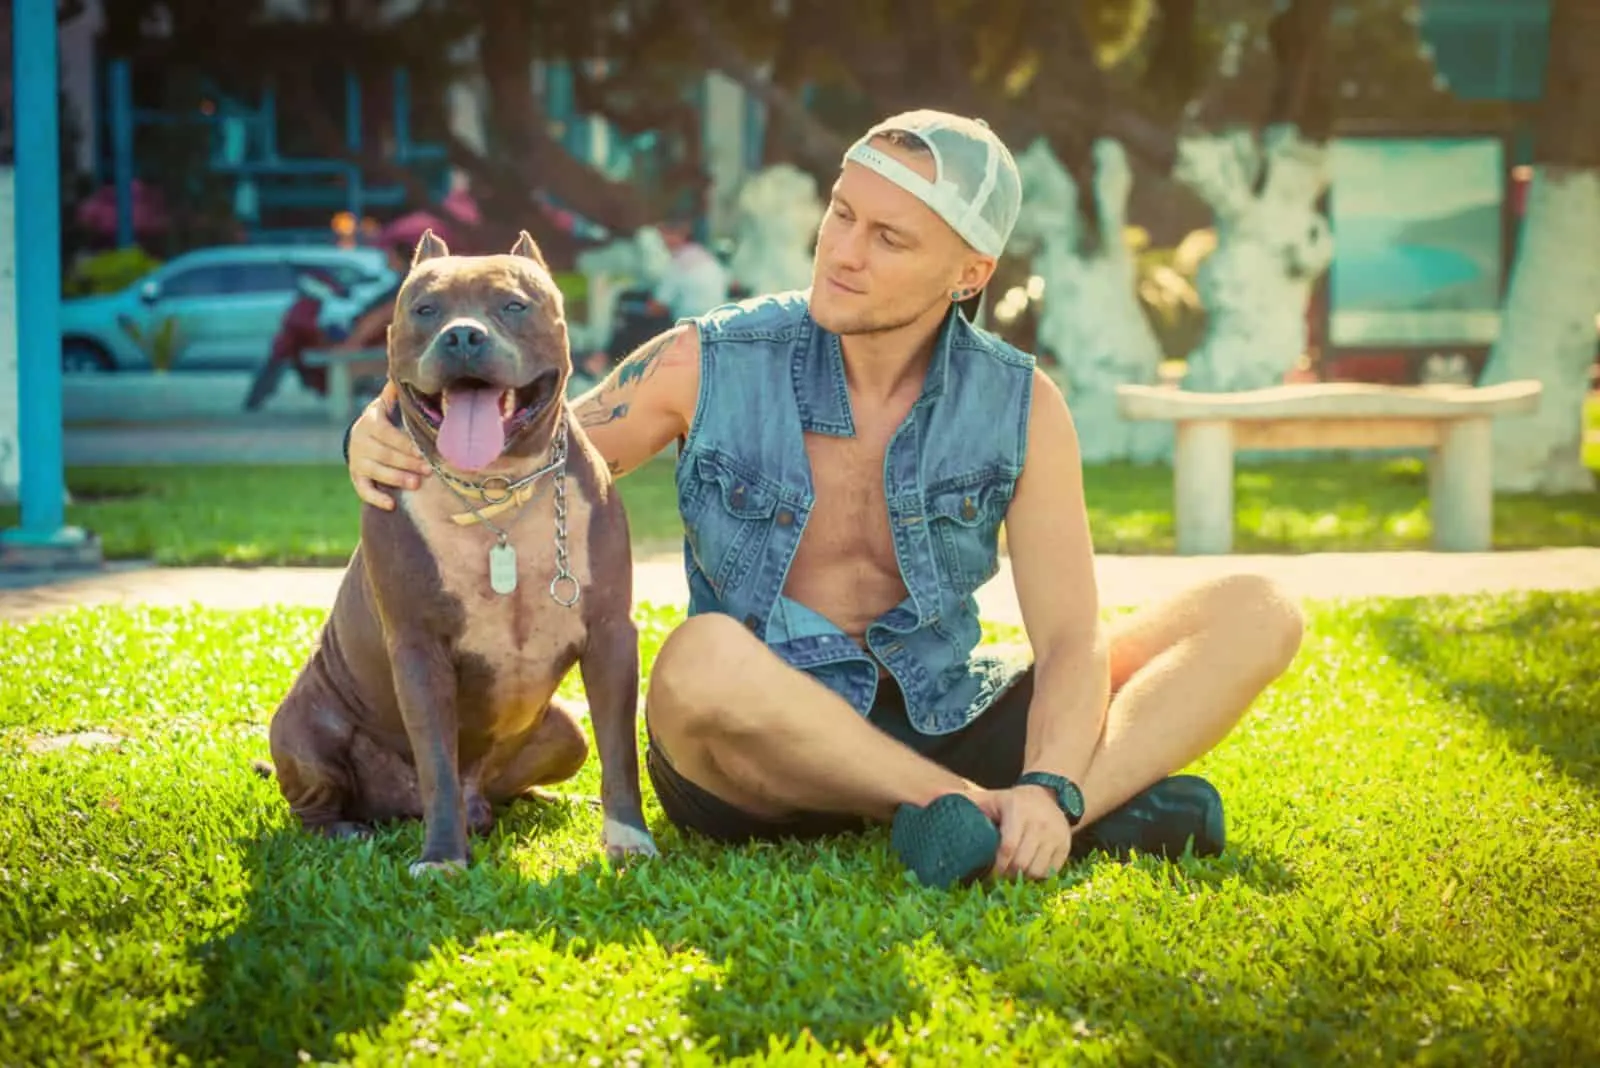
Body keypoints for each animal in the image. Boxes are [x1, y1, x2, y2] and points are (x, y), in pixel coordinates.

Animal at [259, 230, 659, 869]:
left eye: (513, 305)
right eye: (425, 310)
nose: (463, 335)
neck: (496, 489)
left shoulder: (611, 634)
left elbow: (619, 750)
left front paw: (627, 837)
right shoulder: (419, 651)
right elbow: (437, 766)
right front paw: (443, 857)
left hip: (564, 733)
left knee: (522, 777)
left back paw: (548, 800)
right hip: (302, 729)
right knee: (322, 801)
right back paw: (347, 830)